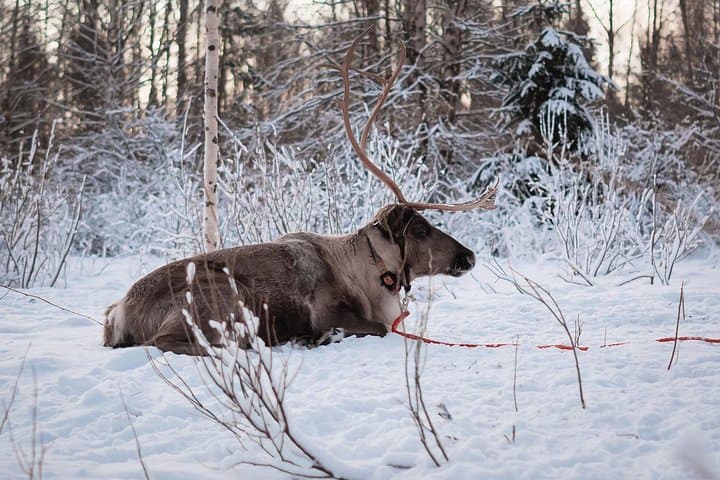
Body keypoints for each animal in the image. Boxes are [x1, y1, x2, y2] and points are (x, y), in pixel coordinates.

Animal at [102, 28, 497, 355]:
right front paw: (321, 336)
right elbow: (376, 328)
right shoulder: (332, 313)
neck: (369, 278)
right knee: (169, 341)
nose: (469, 256)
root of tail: (117, 313)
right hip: (221, 298)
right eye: (420, 229)